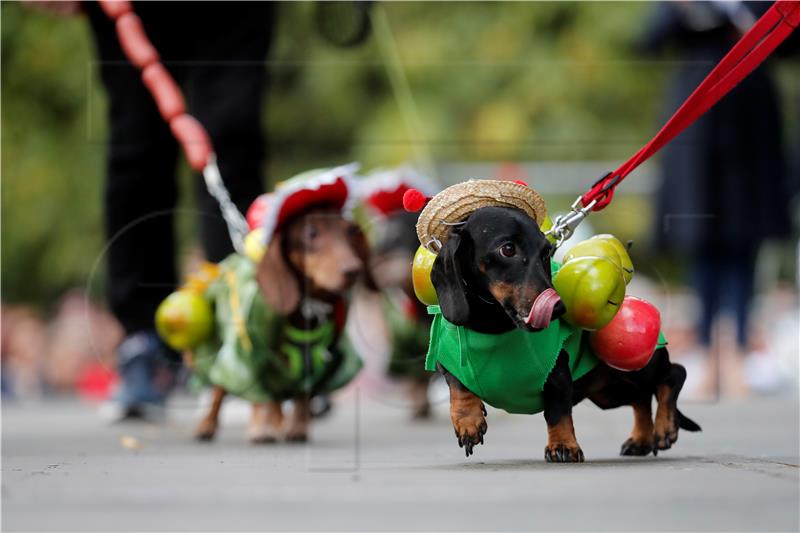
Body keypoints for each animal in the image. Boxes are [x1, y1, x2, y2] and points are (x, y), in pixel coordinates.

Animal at [194, 206, 372, 442]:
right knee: (221, 390)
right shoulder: (254, 355)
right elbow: (260, 397)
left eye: (351, 231)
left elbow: (301, 394)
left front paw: (297, 427)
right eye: (311, 232)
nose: (353, 270)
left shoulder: (313, 360)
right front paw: (262, 428)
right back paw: (207, 425)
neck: (305, 309)